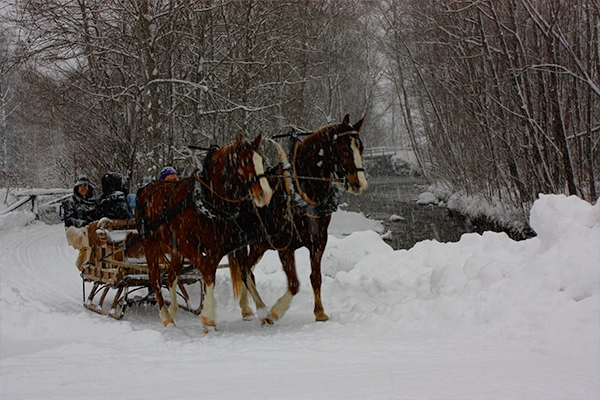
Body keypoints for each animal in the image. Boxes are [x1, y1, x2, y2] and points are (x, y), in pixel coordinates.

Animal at [135, 130, 274, 330]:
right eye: (244, 162)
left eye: (261, 160)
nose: (266, 194)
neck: (206, 200)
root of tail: (145, 190)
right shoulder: (191, 246)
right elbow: (208, 273)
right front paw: (208, 318)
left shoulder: (218, 247)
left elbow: (233, 273)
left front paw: (261, 312)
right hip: (150, 244)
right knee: (155, 279)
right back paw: (166, 317)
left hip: (176, 250)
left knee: (171, 276)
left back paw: (174, 311)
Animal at [230, 114, 368, 324]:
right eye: (344, 148)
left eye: (361, 148)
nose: (359, 183)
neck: (300, 190)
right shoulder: (284, 245)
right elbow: (294, 283)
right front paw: (276, 311)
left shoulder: (318, 241)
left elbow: (316, 277)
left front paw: (320, 312)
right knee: (244, 269)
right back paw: (260, 310)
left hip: (258, 244)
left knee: (247, 269)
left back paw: (248, 308)